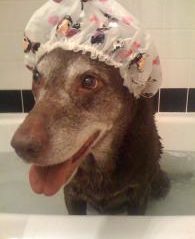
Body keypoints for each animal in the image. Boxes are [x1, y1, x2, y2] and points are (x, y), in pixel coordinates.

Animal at [10, 48, 170, 215]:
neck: (99, 169)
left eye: (89, 81)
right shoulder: (71, 194)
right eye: (36, 76)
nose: (21, 147)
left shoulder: (139, 192)